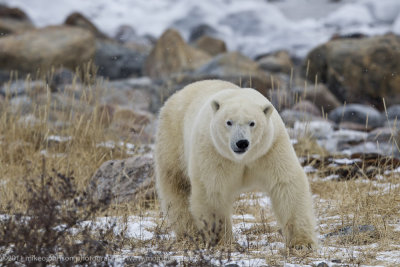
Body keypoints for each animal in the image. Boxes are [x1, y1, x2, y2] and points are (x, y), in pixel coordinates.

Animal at [155, 79, 318, 249]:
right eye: (229, 122)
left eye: (252, 123)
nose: (242, 143)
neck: (242, 158)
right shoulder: (214, 151)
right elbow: (212, 190)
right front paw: (221, 241)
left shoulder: (270, 149)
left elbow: (286, 184)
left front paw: (303, 243)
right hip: (173, 138)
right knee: (177, 185)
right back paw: (189, 233)